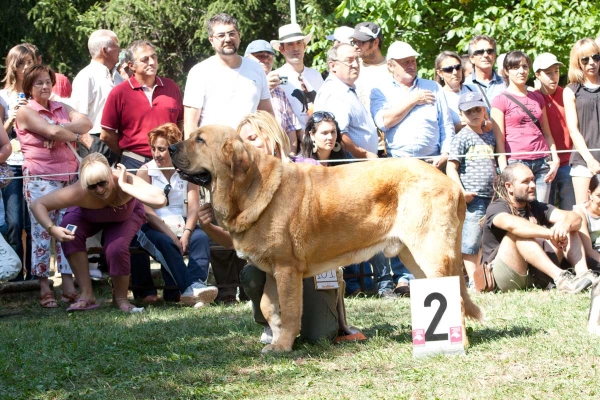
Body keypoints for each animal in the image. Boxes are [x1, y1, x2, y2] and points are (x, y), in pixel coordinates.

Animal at [170, 126, 482, 354]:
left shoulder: (287, 269)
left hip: (430, 253)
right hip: (415, 257)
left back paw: (457, 344)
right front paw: (275, 334)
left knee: (455, 297)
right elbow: (268, 306)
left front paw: (283, 346)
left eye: (199, 140)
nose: (171, 148)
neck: (248, 186)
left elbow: (291, 310)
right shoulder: (271, 270)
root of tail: (452, 184)